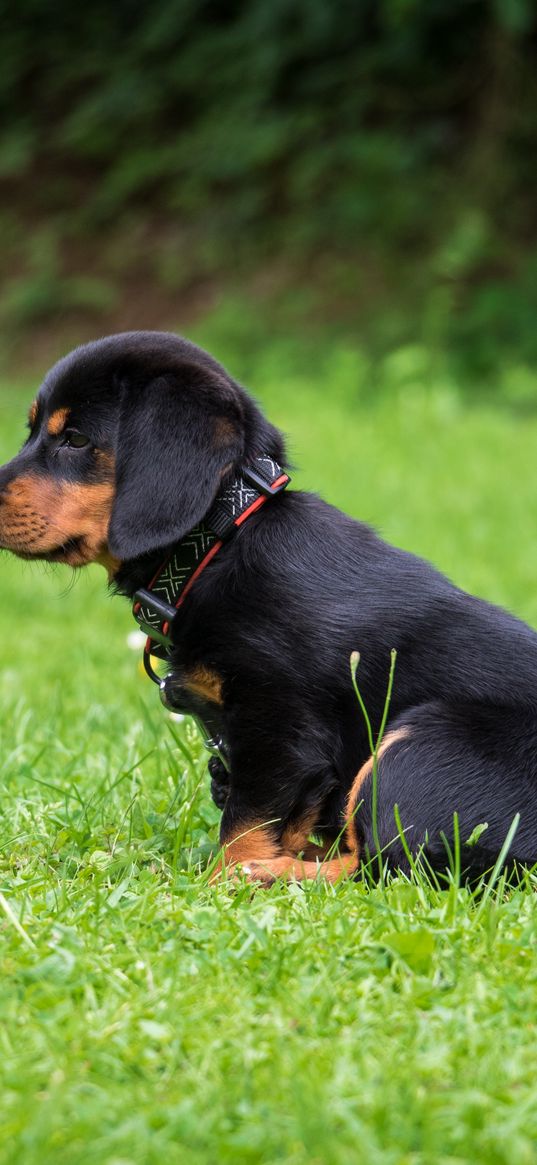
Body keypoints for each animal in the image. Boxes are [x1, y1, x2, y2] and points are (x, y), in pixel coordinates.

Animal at [1, 328, 535, 880]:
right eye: (34, 430)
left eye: (76, 439)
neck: (221, 540)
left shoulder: (278, 728)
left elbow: (245, 825)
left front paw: (222, 880)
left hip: (423, 742)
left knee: (385, 865)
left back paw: (263, 875)